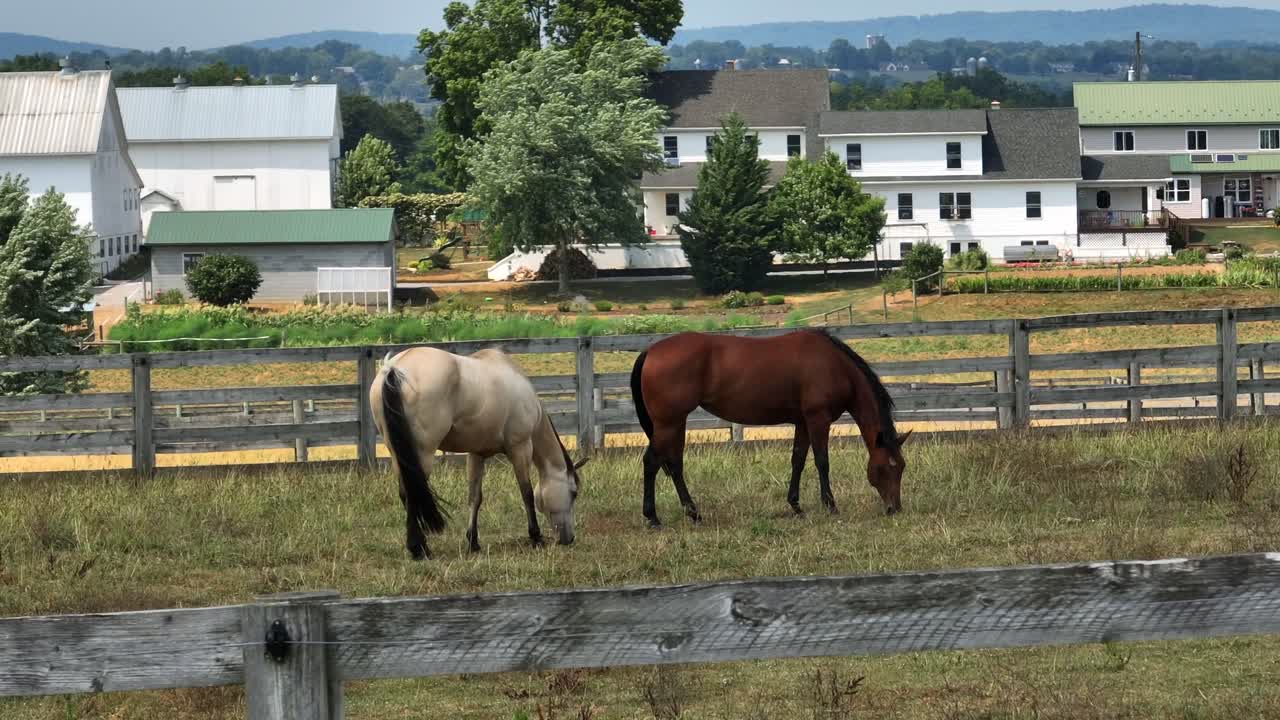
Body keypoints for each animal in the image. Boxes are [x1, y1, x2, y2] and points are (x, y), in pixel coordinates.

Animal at [371, 346, 588, 559]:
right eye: (574, 493)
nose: (569, 538)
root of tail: (393, 368)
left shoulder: (476, 455)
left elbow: (475, 497)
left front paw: (473, 542)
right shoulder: (520, 448)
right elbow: (526, 493)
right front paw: (536, 537)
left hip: (399, 455)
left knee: (405, 493)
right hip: (423, 453)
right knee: (412, 492)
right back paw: (419, 548)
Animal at [628, 328, 910, 528]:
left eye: (902, 467)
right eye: (887, 467)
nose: (894, 508)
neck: (833, 364)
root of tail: (650, 351)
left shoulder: (802, 422)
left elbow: (798, 459)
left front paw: (795, 505)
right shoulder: (818, 419)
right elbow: (822, 461)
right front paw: (830, 505)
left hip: (676, 423)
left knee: (674, 464)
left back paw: (693, 513)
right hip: (668, 424)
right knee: (652, 462)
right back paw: (653, 518)